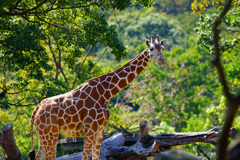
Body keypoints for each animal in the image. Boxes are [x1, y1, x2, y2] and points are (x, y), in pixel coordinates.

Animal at [29, 35, 166, 160]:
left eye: (162, 48)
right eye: (152, 48)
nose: (162, 60)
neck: (105, 93)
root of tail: (37, 109)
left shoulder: (100, 130)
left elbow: (96, 157)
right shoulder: (90, 129)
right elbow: (85, 157)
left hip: (43, 135)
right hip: (51, 134)